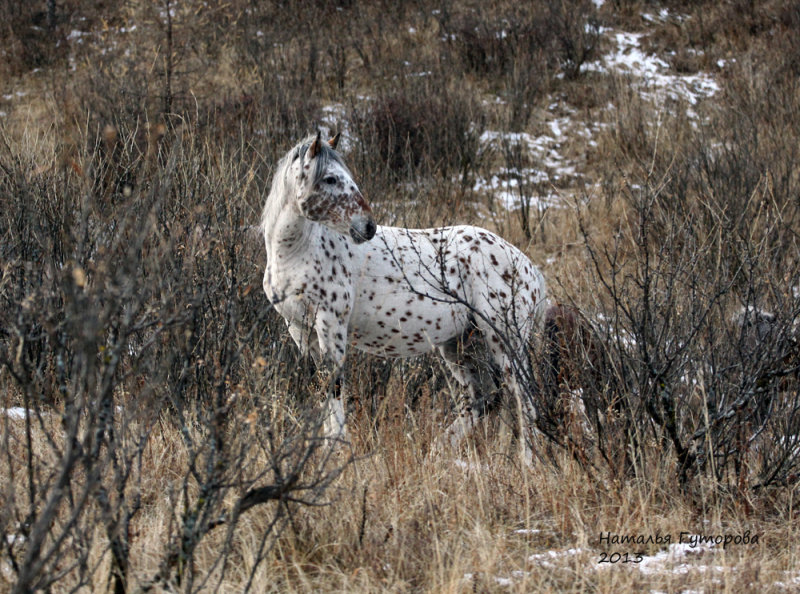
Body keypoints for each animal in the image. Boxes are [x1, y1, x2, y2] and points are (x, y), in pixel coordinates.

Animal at [260, 132, 548, 458]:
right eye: (330, 179)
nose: (367, 226)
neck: (296, 252)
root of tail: (527, 266)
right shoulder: (299, 329)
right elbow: (320, 387)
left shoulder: (330, 325)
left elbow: (334, 386)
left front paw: (338, 451)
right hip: (459, 344)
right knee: (482, 400)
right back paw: (436, 453)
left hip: (504, 339)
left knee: (524, 400)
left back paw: (527, 462)